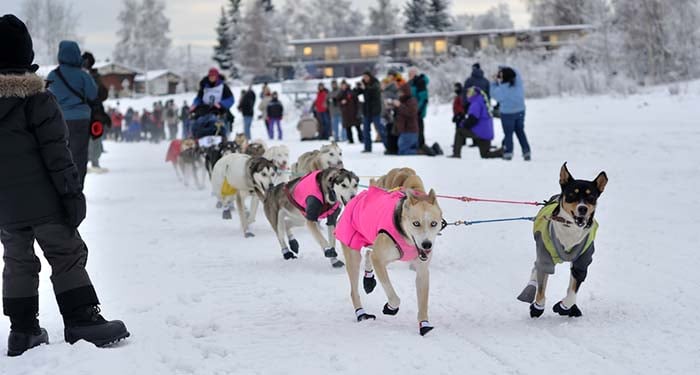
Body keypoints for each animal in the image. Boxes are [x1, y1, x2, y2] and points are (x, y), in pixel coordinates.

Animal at [334, 181, 442, 336]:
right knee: (354, 291)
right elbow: (394, 296)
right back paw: (362, 314)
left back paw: (368, 279)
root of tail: (354, 200)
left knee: (369, 253)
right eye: (416, 223)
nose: (427, 244)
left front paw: (424, 325)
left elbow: (423, 301)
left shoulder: (422, 271)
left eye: (433, 223)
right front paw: (390, 307)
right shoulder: (379, 260)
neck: (406, 237)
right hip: (353, 253)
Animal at [516, 163, 608, 318]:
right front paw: (537, 307)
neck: (570, 228)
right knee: (536, 268)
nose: (582, 208)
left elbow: (573, 290)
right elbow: (541, 286)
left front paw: (564, 307)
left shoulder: (582, 261)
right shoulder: (544, 255)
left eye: (591, 196)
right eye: (572, 194)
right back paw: (530, 288)